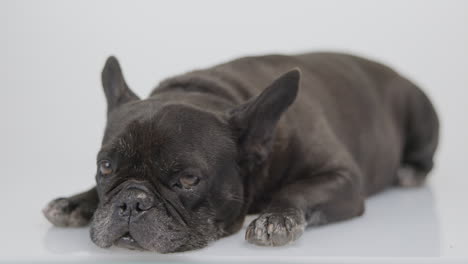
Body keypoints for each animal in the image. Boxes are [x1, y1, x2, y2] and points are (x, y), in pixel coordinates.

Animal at [43, 51, 438, 252]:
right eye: (106, 167)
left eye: (189, 179)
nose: (131, 202)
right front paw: (76, 202)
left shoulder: (342, 178)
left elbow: (296, 190)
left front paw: (276, 218)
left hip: (422, 114)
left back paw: (410, 172)